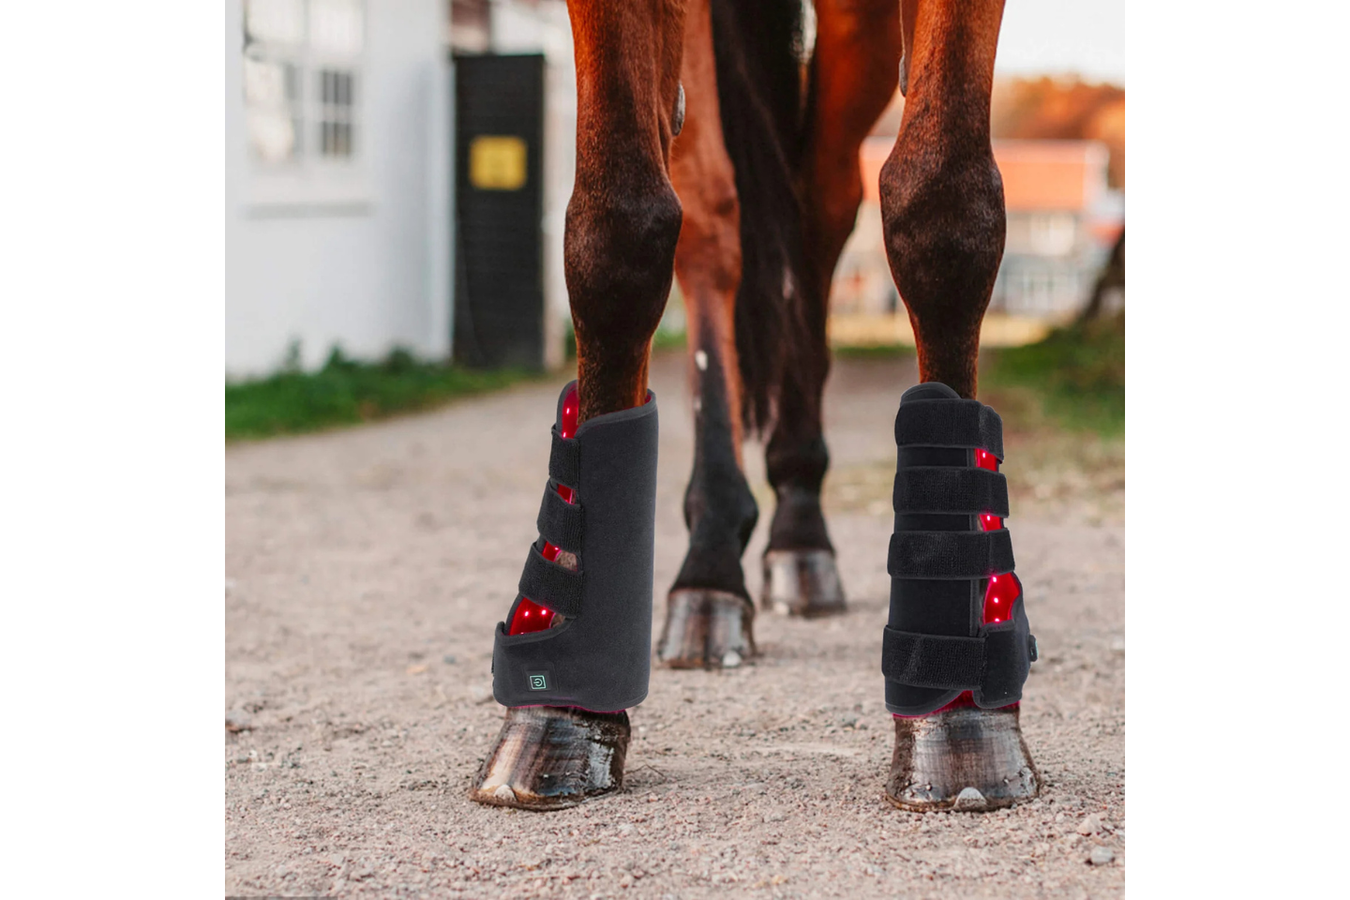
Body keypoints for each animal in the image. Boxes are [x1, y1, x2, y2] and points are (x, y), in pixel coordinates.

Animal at [470, 0, 1036, 812]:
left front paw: (963, 720)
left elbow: (943, 209)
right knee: (714, 222)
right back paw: (711, 564)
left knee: (821, 204)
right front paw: (561, 711)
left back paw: (799, 524)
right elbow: (616, 231)